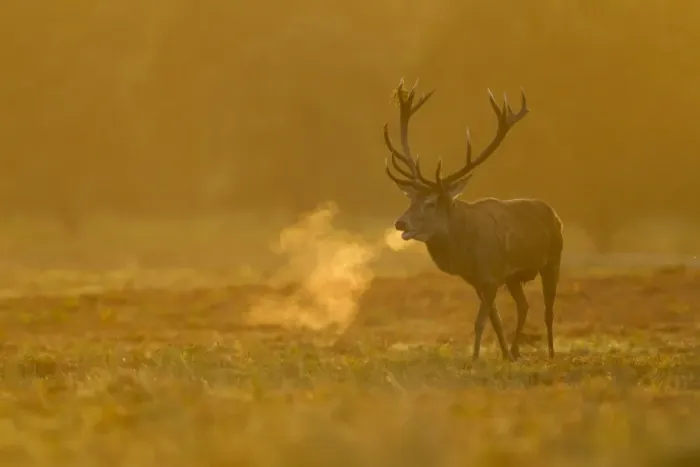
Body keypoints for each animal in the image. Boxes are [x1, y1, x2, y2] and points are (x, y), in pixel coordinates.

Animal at [383, 79, 563, 362]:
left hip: (553, 260)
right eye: (411, 200)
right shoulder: (480, 280)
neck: (465, 253)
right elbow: (495, 320)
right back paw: (515, 351)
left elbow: (480, 321)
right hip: (514, 277)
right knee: (524, 306)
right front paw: (503, 355)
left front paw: (475, 358)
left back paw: (552, 352)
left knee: (548, 309)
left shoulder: (490, 277)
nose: (400, 223)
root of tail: (554, 214)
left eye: (430, 202)